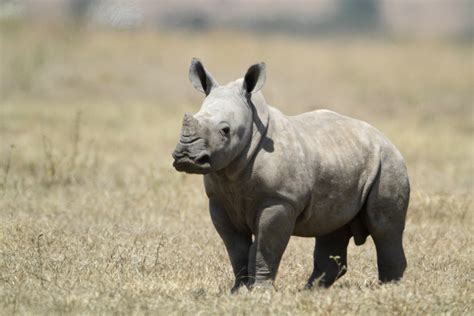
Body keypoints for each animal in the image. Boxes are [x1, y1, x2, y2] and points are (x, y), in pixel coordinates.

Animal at [172, 58, 410, 292]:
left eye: (225, 130)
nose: (185, 156)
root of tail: (385, 138)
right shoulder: (219, 201)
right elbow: (236, 249)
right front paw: (238, 290)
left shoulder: (280, 199)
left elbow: (265, 247)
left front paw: (260, 291)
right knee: (332, 226)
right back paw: (311, 290)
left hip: (388, 162)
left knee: (384, 228)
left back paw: (389, 288)